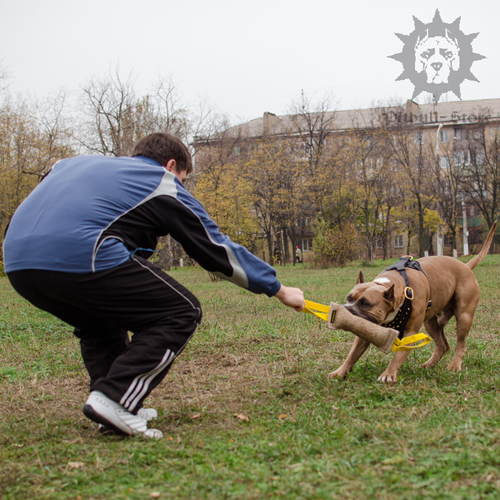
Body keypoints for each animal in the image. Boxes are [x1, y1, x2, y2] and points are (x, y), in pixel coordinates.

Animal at [330, 223, 498, 382]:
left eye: (365, 303)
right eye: (348, 298)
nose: (345, 309)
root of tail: (466, 266)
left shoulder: (410, 333)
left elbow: (398, 356)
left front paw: (388, 374)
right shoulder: (366, 331)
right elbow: (352, 354)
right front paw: (340, 372)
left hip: (464, 317)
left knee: (461, 345)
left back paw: (455, 365)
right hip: (431, 323)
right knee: (442, 345)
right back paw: (429, 365)